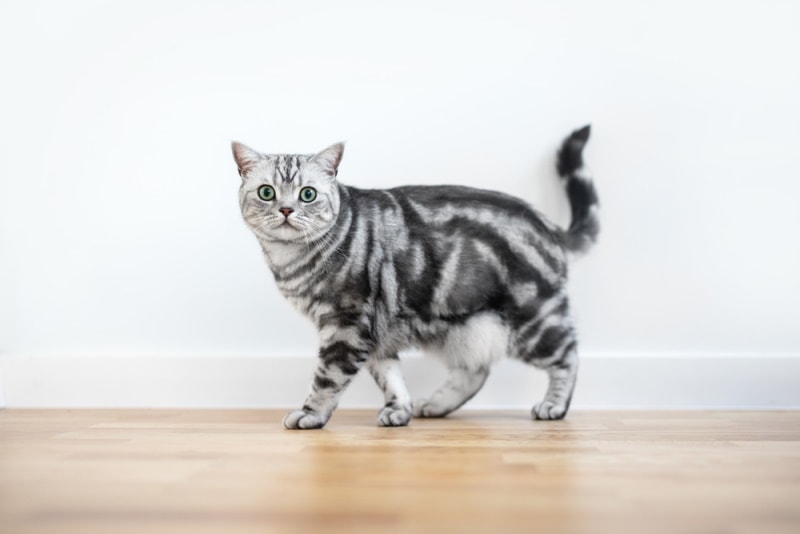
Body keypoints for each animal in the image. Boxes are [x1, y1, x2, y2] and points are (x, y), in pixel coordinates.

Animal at [228, 126, 596, 432]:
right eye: (266, 193)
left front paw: (311, 414)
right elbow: (390, 377)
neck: (290, 259)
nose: (286, 210)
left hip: (533, 320)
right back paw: (434, 404)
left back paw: (554, 405)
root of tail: (547, 225)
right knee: (477, 370)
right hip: (464, 327)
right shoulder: (376, 332)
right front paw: (399, 410)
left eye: (307, 194)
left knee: (569, 356)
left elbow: (327, 379)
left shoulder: (347, 324)